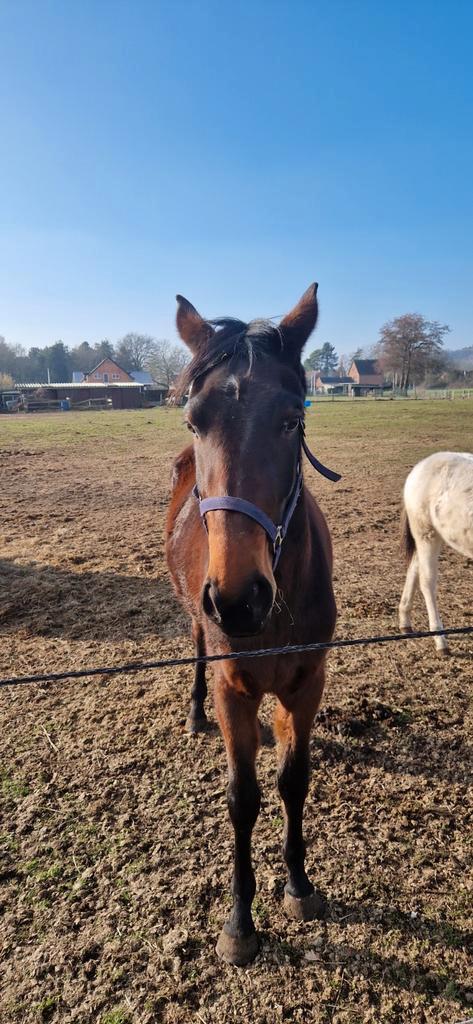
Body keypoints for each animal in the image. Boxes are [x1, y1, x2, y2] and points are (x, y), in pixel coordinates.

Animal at [166, 283, 339, 965]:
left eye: (293, 419)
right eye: (195, 420)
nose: (240, 599)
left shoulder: (306, 682)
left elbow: (294, 780)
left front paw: (298, 884)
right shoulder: (233, 687)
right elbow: (243, 799)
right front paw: (240, 920)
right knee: (193, 643)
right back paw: (193, 712)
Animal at [399, 451, 473, 653]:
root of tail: (420, 466)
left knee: (414, 567)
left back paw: (405, 621)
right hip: (427, 534)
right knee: (427, 581)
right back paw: (440, 641)